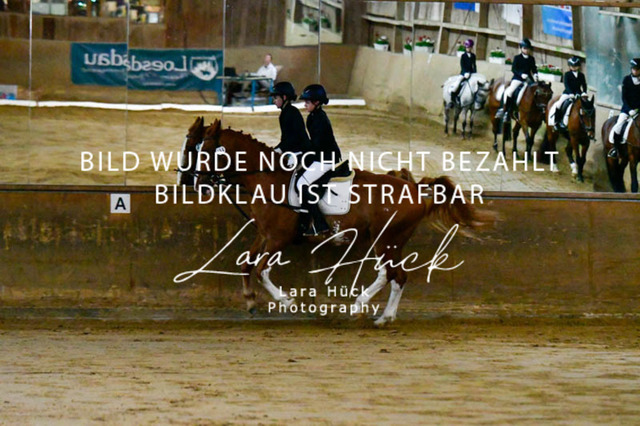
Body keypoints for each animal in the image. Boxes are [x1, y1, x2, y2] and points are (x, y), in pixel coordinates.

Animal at [193, 119, 493, 325]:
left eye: (206, 150)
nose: (198, 183)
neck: (268, 178)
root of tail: (416, 189)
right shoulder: (264, 235)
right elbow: (246, 264)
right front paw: (250, 302)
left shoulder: (278, 238)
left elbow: (262, 270)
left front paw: (286, 301)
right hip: (390, 241)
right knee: (395, 276)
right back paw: (379, 315)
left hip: (386, 239)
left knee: (391, 275)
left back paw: (364, 309)